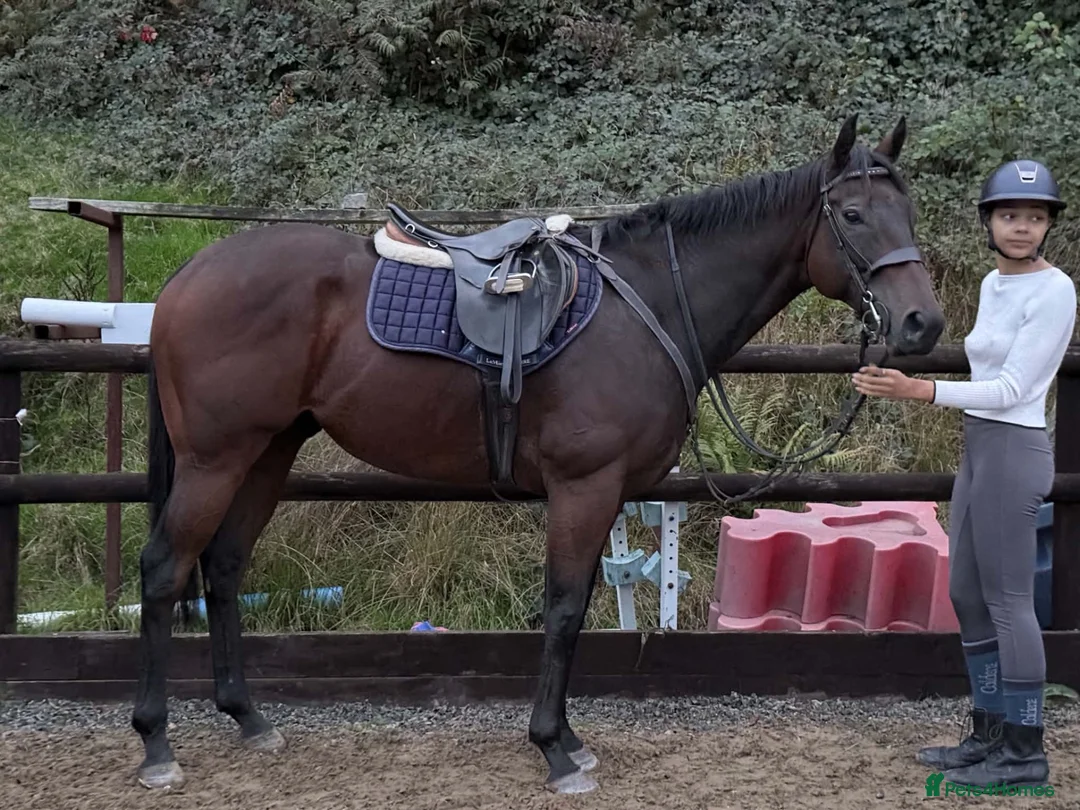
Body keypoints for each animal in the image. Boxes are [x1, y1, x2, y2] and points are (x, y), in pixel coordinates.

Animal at [131, 114, 945, 794]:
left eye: (908, 212)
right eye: (852, 215)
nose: (921, 323)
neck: (647, 301)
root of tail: (185, 277)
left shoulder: (606, 492)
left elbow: (576, 607)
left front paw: (570, 739)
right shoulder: (584, 486)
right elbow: (562, 607)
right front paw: (554, 748)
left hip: (267, 451)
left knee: (224, 566)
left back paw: (247, 717)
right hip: (215, 458)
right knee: (166, 568)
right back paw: (155, 743)